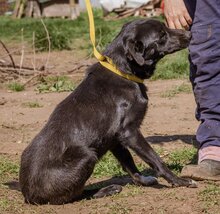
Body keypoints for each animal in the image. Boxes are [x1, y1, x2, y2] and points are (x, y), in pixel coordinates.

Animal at [18, 19, 194, 205]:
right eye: (162, 35)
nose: (190, 34)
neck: (123, 72)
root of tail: (29, 195)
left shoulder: (115, 139)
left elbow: (130, 164)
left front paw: (144, 181)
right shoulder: (130, 133)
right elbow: (156, 160)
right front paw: (179, 181)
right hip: (88, 156)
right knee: (75, 196)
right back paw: (108, 189)